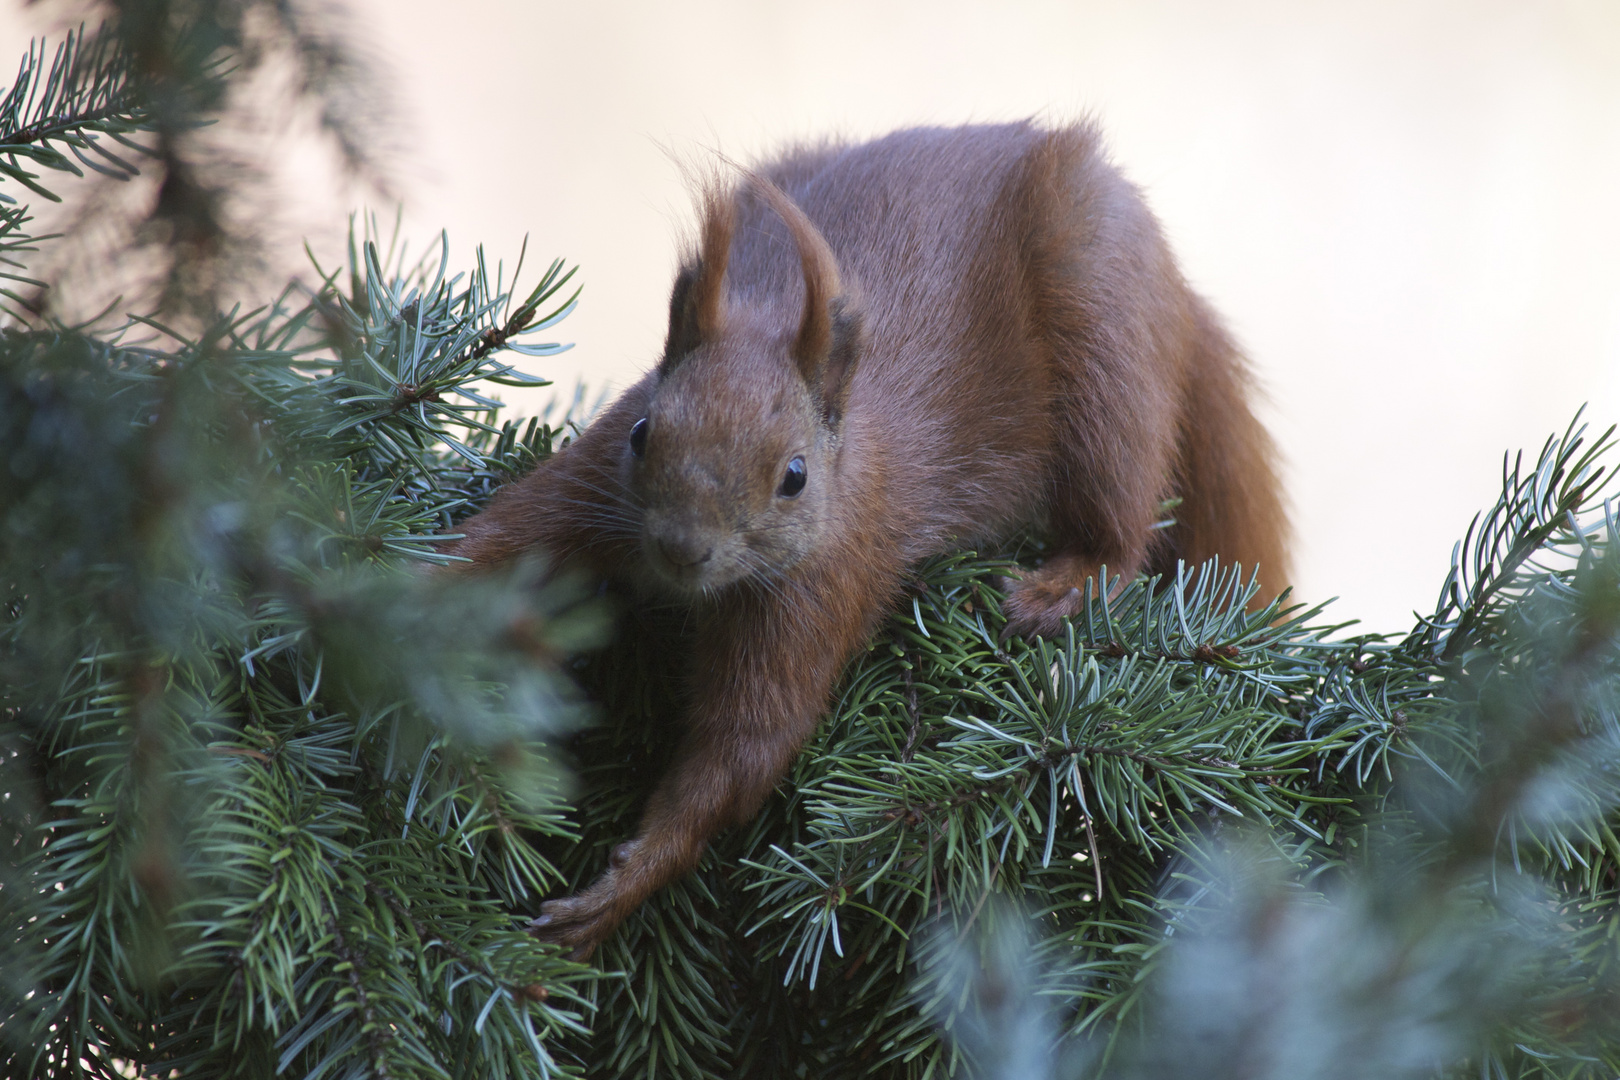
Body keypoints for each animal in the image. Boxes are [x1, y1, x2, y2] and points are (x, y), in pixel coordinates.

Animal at [443, 122, 1289, 958]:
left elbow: (747, 744)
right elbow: (497, 541)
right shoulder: (588, 483)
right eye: (646, 434)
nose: (682, 550)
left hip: (1106, 333)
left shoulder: (826, 583)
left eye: (794, 476)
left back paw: (1060, 586)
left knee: (1121, 521)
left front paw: (629, 882)